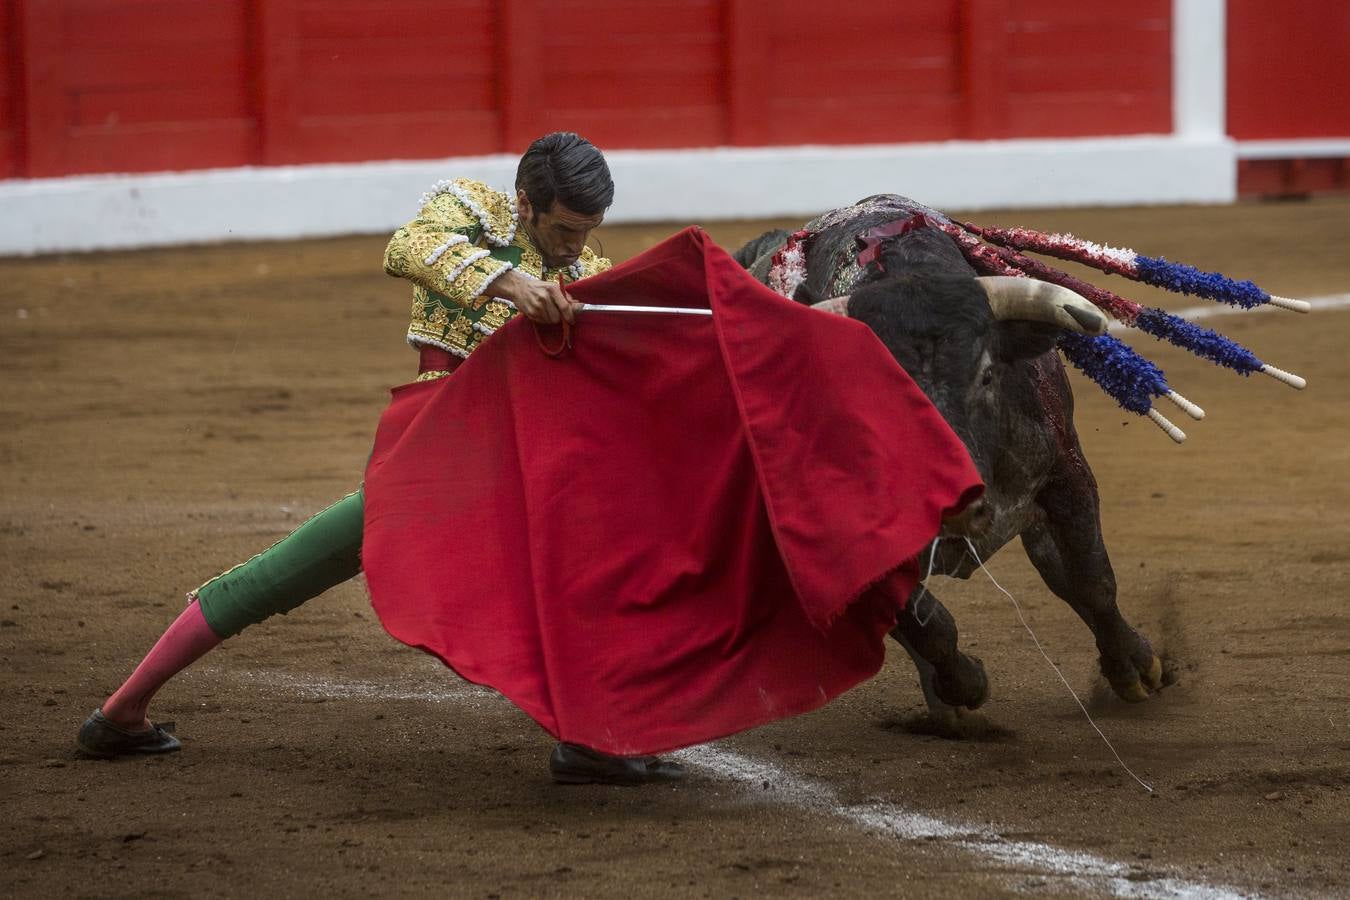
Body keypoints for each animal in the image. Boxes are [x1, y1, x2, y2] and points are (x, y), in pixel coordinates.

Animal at [734, 195, 1166, 723]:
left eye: (986, 375)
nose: (953, 501)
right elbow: (925, 625)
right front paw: (965, 683)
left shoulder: (1066, 474)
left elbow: (1091, 579)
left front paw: (1132, 669)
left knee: (1058, 572)